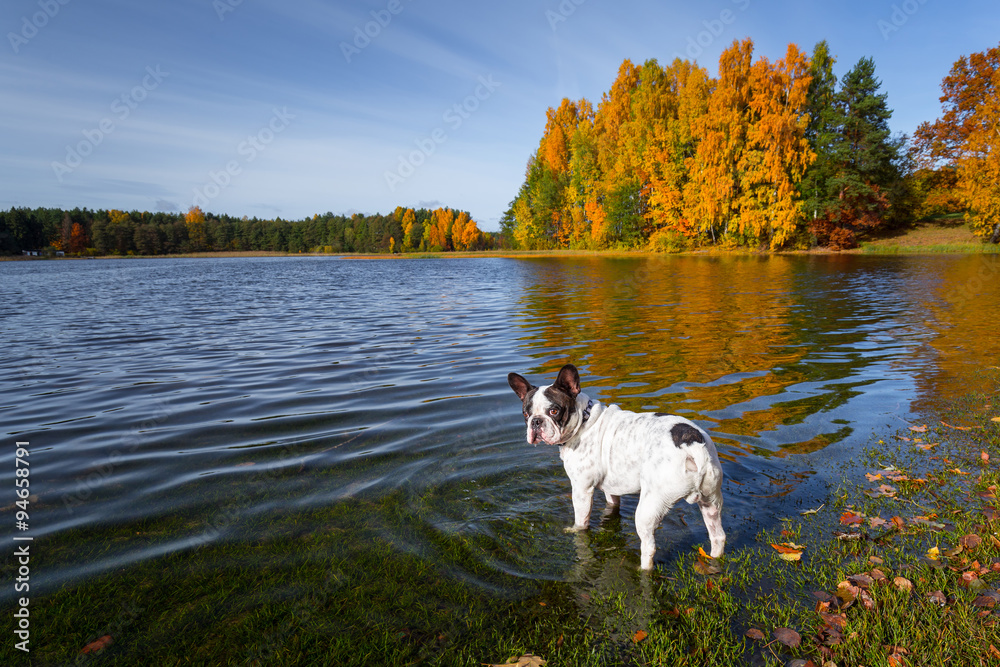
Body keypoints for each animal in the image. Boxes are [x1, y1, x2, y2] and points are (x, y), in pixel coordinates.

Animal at [508, 362, 728, 572]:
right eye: (526, 414)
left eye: (554, 411)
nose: (536, 422)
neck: (584, 421)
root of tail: (693, 447)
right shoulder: (610, 488)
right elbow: (612, 503)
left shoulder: (581, 490)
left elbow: (581, 523)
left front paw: (576, 532)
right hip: (711, 500)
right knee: (718, 535)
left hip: (649, 507)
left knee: (649, 546)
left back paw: (641, 570)